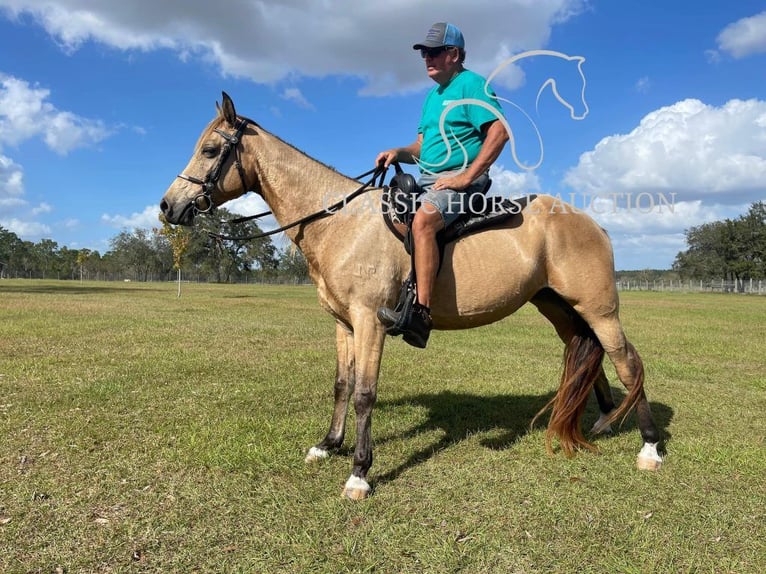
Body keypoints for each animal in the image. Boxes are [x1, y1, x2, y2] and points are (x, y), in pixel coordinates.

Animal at [159, 92, 664, 502]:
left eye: (209, 149)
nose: (167, 206)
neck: (340, 223)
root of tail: (593, 223)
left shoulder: (370, 321)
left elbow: (365, 393)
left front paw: (359, 474)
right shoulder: (343, 323)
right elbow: (342, 384)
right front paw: (328, 445)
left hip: (600, 309)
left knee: (627, 361)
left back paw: (650, 447)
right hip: (559, 308)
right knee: (588, 356)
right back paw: (601, 423)